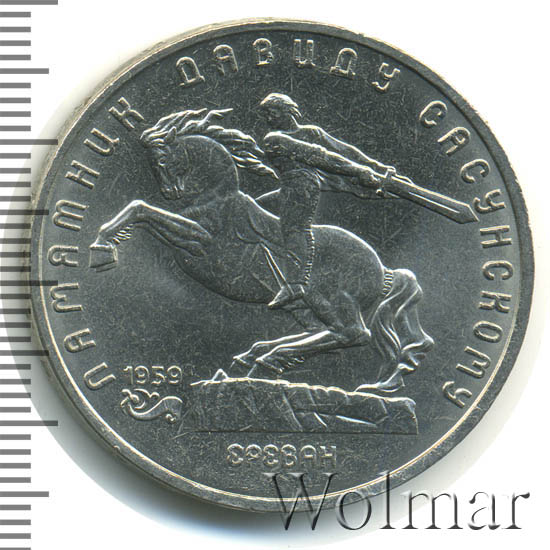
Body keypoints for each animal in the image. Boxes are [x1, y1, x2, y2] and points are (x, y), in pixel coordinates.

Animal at [89, 108, 434, 392]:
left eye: (160, 160)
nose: (170, 193)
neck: (215, 197)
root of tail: (383, 269)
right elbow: (142, 211)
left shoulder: (200, 239)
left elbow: (141, 208)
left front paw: (102, 248)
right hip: (304, 307)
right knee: (329, 335)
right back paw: (260, 356)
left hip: (331, 299)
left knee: (353, 334)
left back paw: (270, 357)